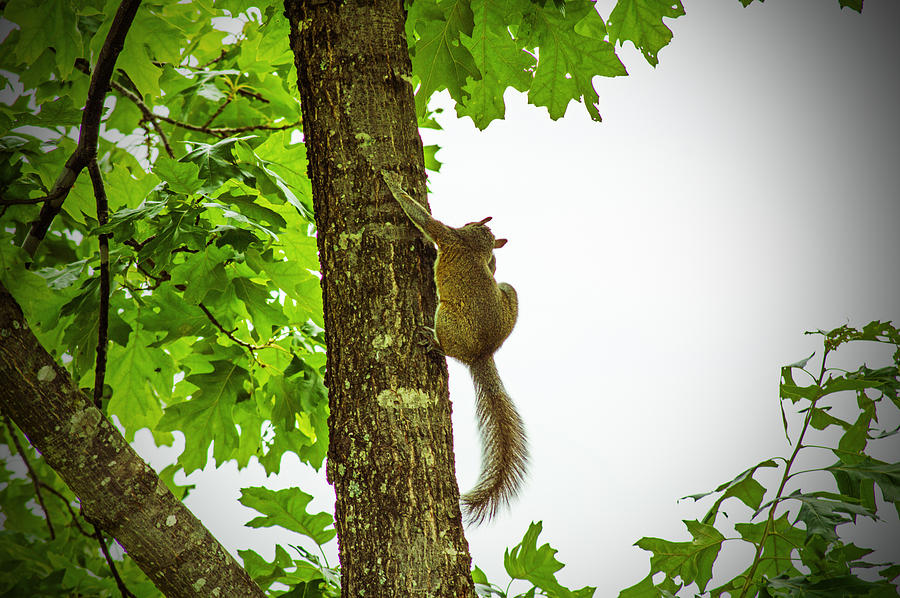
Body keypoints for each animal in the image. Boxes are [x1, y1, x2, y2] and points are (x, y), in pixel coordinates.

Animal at [381, 170, 527, 524]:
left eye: (471, 221)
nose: (473, 218)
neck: (474, 245)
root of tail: (481, 354)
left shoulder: (447, 235)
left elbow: (421, 218)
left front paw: (392, 182)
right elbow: (494, 266)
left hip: (445, 316)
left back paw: (432, 341)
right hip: (509, 294)